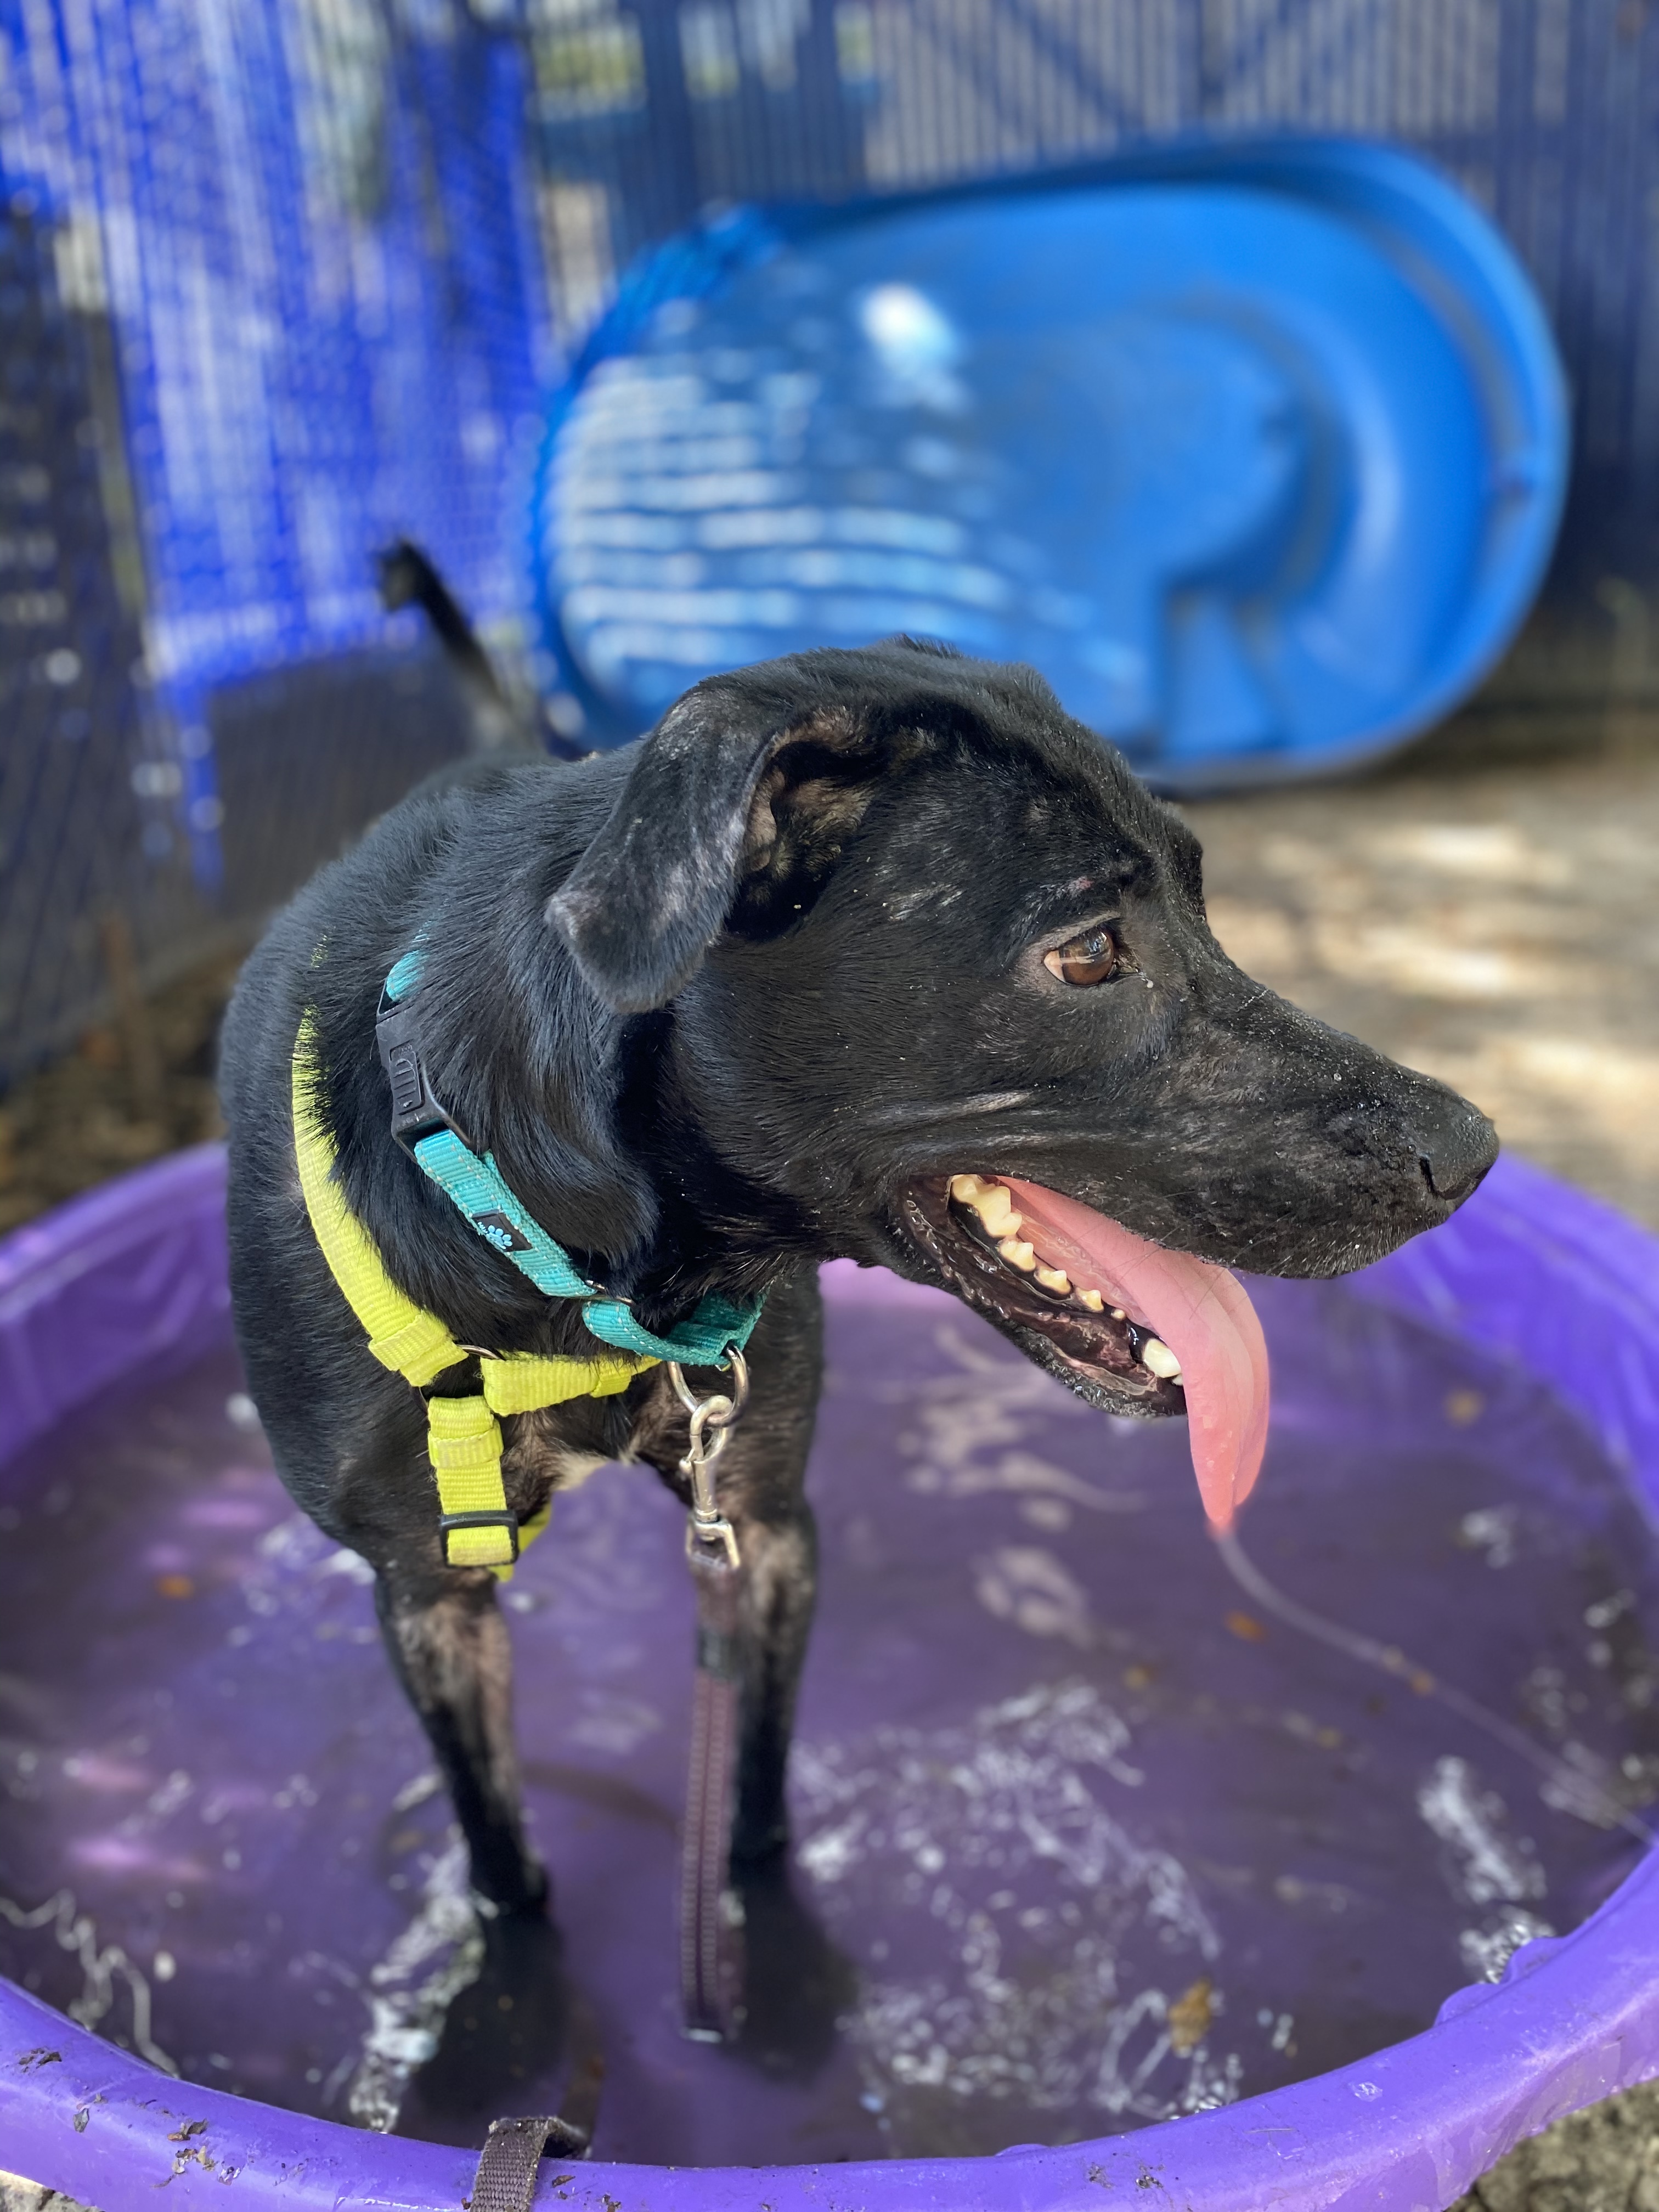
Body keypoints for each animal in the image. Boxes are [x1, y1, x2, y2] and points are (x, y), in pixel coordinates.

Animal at [215, 641, 1504, 1938]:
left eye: (1201, 896)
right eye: (1090, 952)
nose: (1473, 1150)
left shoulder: (763, 1524)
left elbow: (756, 1796)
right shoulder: (427, 1599)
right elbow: (498, 1855)